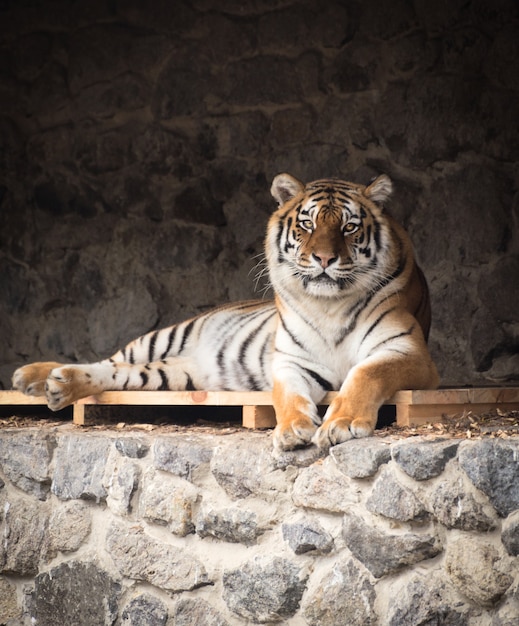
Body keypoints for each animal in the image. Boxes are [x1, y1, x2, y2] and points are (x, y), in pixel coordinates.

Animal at [11, 173, 438, 448]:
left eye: (349, 227)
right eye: (306, 225)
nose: (323, 259)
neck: (329, 305)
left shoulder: (407, 351)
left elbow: (366, 373)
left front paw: (342, 424)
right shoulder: (290, 361)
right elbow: (287, 395)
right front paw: (292, 430)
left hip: (170, 377)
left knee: (117, 374)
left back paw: (57, 385)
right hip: (163, 338)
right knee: (108, 360)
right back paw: (35, 378)